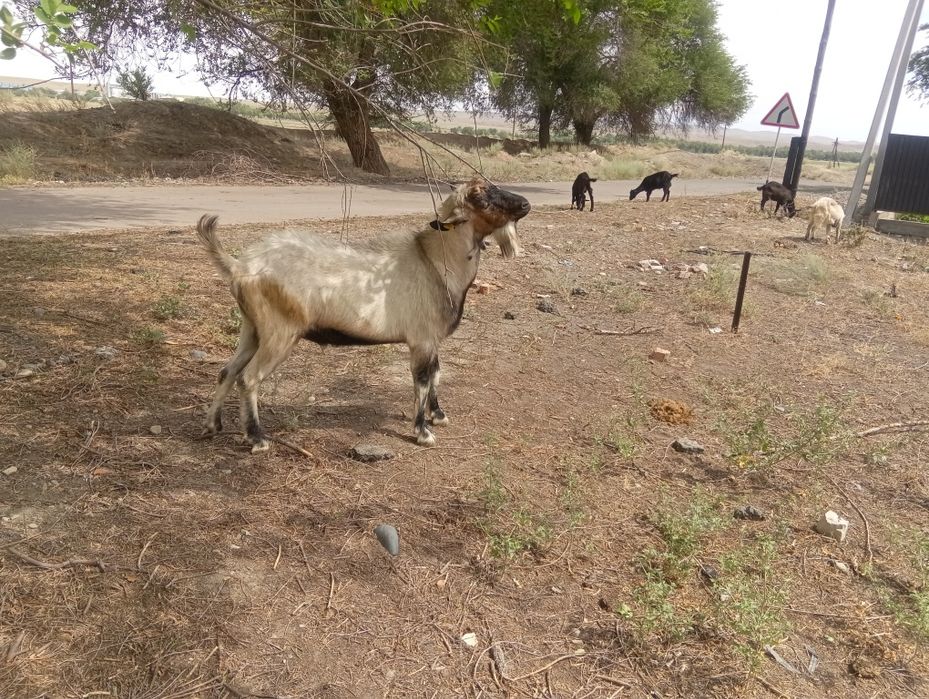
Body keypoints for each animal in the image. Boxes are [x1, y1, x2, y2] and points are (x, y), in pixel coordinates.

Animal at [195, 178, 531, 452]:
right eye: (479, 196)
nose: (526, 204)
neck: (435, 261)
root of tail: (241, 266)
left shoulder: (432, 339)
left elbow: (436, 373)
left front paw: (438, 415)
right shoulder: (421, 338)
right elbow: (422, 380)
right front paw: (422, 432)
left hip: (252, 329)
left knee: (227, 370)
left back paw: (213, 425)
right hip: (280, 332)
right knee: (248, 377)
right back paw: (257, 438)